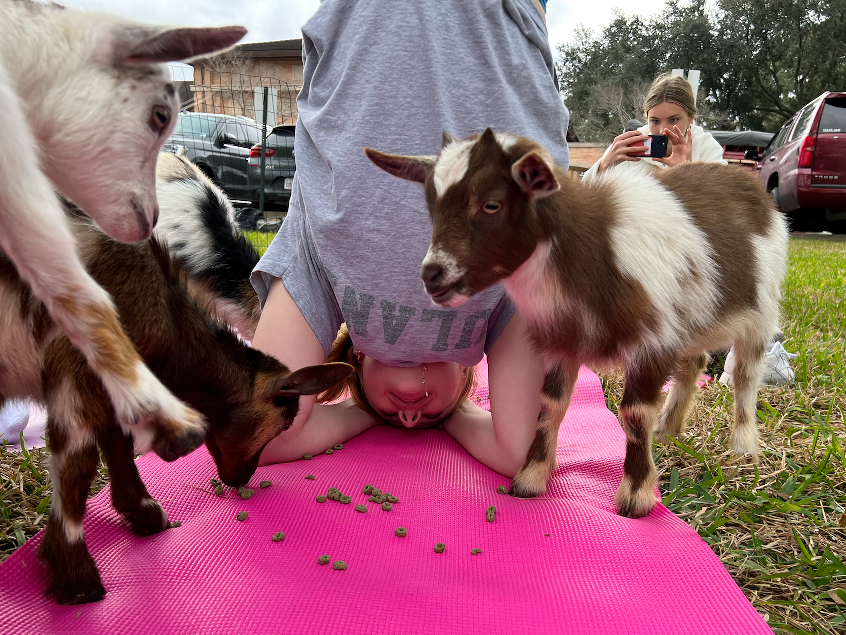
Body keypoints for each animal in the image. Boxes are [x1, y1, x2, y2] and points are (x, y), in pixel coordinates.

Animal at [0, 210, 352, 608]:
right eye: (285, 424)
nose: (243, 478)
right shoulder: (77, 365)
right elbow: (79, 460)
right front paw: (76, 578)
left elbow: (117, 441)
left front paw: (143, 513)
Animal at [368, 130, 792, 520]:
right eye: (431, 205)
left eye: (491, 204)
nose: (432, 275)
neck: (595, 250)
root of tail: (745, 180)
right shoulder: (564, 342)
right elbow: (549, 407)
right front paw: (531, 479)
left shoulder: (651, 342)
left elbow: (634, 414)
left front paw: (636, 497)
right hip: (692, 318)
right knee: (694, 362)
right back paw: (668, 430)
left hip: (761, 309)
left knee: (745, 375)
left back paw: (743, 445)